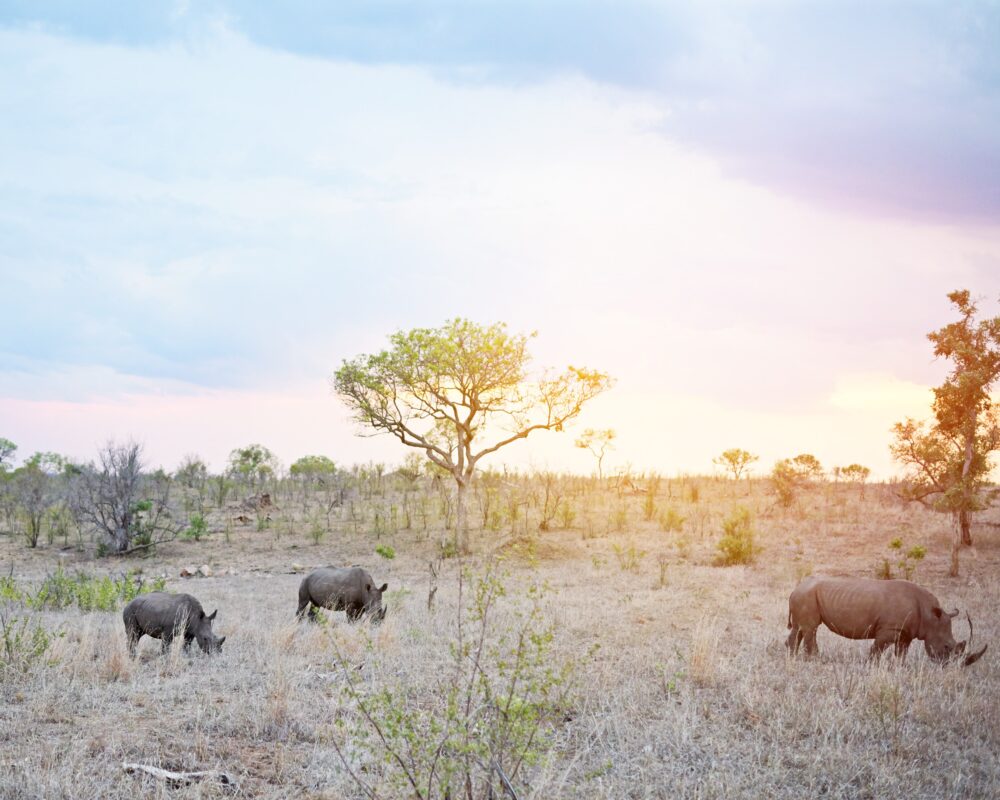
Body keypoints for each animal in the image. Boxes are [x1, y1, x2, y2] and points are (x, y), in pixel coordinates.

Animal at [786, 575, 986, 666]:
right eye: (946, 647)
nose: (954, 666)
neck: (930, 616)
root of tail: (795, 589)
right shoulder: (889, 630)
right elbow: (876, 650)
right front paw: (870, 666)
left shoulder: (905, 633)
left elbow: (901, 653)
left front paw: (899, 667)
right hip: (806, 595)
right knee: (810, 629)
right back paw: (814, 660)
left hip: (805, 595)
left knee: (800, 629)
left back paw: (793, 658)